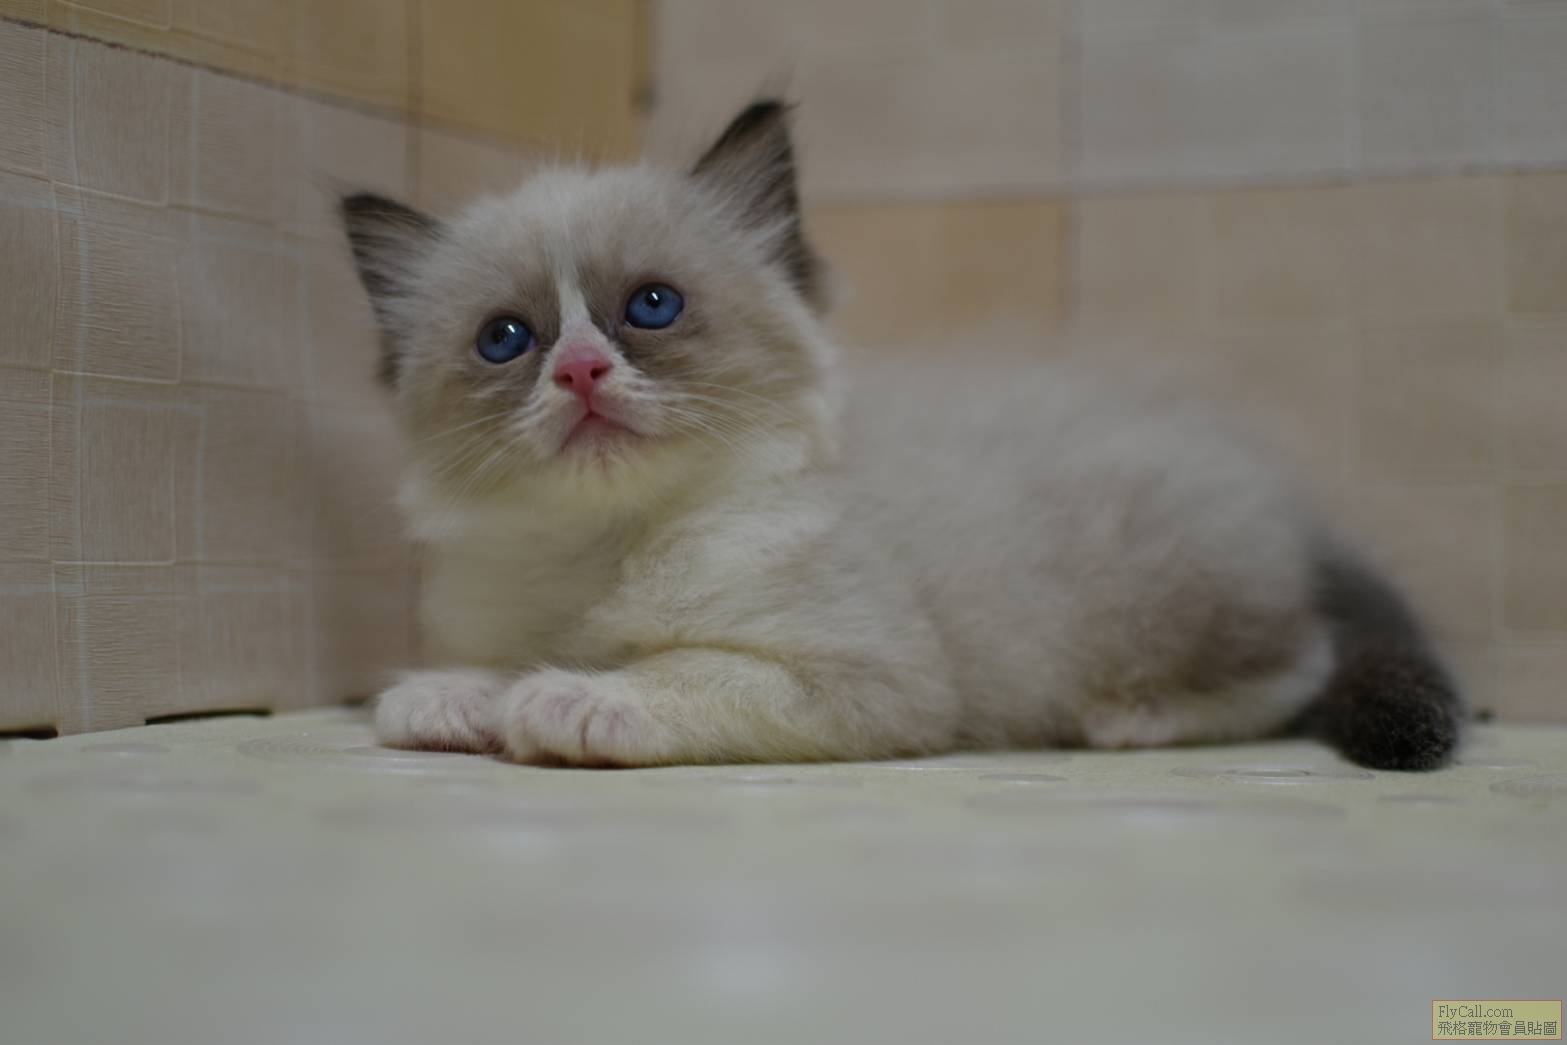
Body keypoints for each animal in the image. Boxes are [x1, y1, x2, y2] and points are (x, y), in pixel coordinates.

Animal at [339, 100, 1463, 771]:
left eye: (651, 307)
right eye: (507, 339)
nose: (578, 370)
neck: (608, 544)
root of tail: (1275, 481)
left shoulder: (868, 677)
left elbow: (682, 669)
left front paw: (563, 700)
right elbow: (492, 666)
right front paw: (449, 699)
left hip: (1169, 593)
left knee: (1301, 658)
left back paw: (1130, 717)